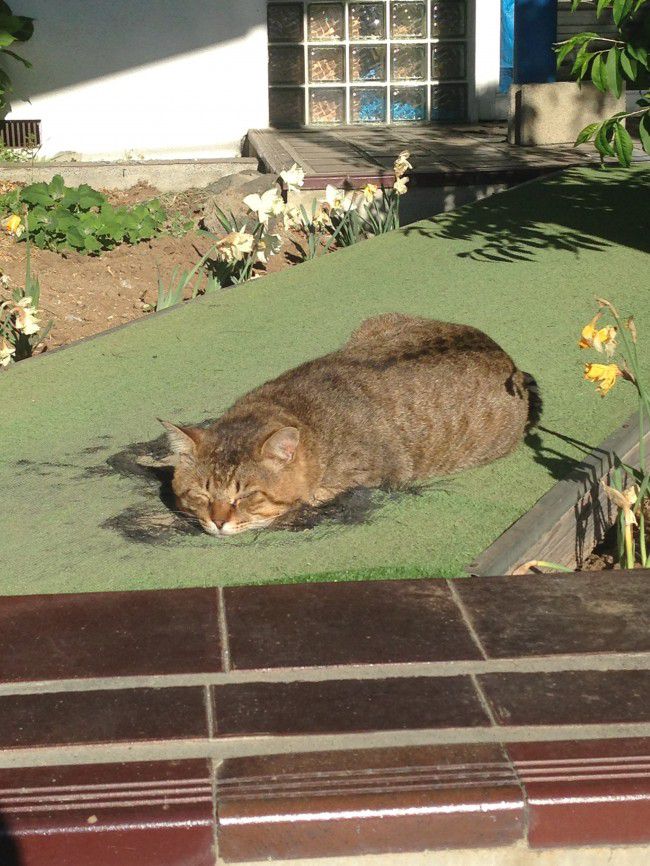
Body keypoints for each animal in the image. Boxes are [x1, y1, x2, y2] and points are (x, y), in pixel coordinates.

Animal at [162, 314, 536, 536]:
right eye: (201, 494)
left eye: (247, 496)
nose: (218, 520)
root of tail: (509, 361)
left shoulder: (371, 474)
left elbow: (311, 497)